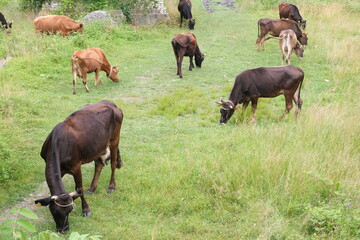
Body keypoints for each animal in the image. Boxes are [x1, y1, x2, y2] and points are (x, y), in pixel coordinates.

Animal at [34, 100, 124, 233]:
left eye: (69, 210)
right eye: (54, 211)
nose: (64, 229)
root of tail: (110, 103)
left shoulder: (76, 167)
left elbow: (79, 188)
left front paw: (86, 210)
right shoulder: (57, 168)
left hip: (114, 139)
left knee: (113, 164)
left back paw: (111, 186)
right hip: (98, 145)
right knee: (99, 164)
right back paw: (92, 187)